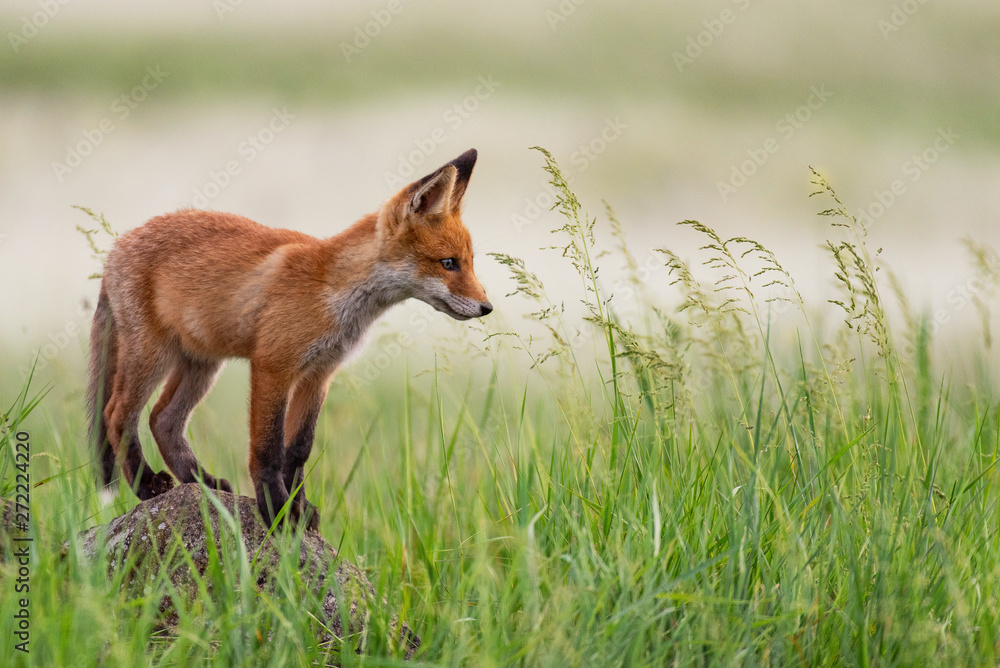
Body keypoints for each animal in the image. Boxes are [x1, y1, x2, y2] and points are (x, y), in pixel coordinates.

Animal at [89, 150, 492, 528]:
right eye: (448, 263)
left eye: (470, 263)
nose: (487, 307)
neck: (335, 294)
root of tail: (117, 247)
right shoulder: (273, 365)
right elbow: (268, 448)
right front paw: (275, 508)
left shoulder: (319, 374)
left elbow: (297, 450)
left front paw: (299, 506)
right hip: (153, 355)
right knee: (117, 413)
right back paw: (146, 485)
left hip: (202, 363)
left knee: (163, 419)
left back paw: (201, 481)